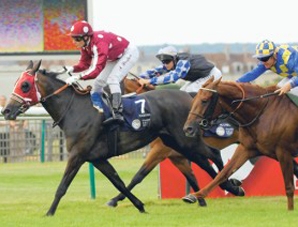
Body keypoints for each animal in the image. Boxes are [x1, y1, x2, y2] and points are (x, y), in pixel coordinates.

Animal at [106, 76, 241, 207]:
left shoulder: (159, 151)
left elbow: (139, 175)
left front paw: (114, 200)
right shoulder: (177, 157)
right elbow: (191, 176)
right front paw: (199, 200)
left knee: (216, 155)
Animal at [182, 76, 298, 211]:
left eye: (204, 101)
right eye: (193, 100)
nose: (188, 128)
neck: (262, 112)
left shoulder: (283, 151)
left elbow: (289, 186)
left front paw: (290, 211)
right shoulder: (248, 148)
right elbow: (223, 173)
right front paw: (194, 195)